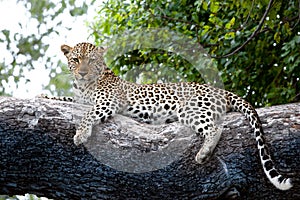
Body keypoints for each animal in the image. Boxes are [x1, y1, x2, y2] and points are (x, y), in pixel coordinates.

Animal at [43, 41, 292, 191]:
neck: (84, 85)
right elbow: (67, 100)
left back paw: (203, 153)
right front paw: (45, 95)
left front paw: (81, 135)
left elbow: (88, 114)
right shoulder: (80, 99)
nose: (83, 72)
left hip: (189, 109)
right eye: (76, 60)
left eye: (92, 60)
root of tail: (220, 90)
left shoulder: (109, 102)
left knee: (215, 127)